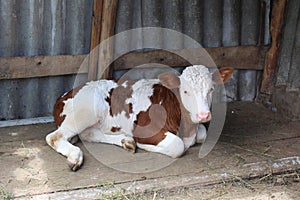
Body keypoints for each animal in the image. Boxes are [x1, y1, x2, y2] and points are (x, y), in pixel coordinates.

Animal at [45, 65, 233, 170]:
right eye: (185, 91)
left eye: (211, 89)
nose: (203, 115)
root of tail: (63, 95)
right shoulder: (145, 130)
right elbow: (177, 146)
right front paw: (147, 146)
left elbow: (202, 134)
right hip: (86, 109)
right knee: (54, 137)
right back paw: (74, 157)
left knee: (88, 135)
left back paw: (127, 141)